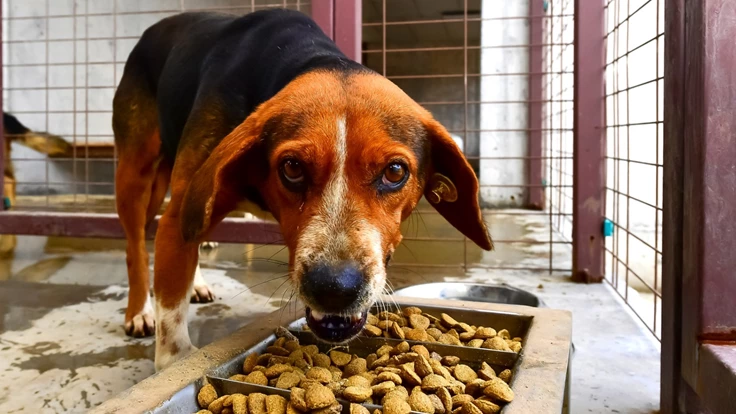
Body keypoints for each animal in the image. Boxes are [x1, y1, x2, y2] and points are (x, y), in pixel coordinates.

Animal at [113, 8, 494, 368]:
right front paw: (173, 356)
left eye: (395, 171)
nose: (335, 288)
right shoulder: (179, 216)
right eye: (292, 167)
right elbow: (172, 337)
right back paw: (138, 312)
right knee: (135, 246)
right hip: (137, 177)